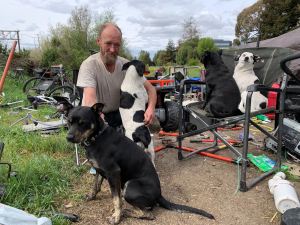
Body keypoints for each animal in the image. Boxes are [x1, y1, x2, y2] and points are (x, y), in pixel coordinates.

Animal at [67, 103, 214, 224]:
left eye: (82, 123)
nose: (68, 137)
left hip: (129, 187)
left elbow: (116, 200)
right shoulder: (99, 169)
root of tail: (159, 194)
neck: (97, 137)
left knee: (148, 214)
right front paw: (91, 196)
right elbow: (95, 186)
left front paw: (116, 217)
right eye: (69, 122)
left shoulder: (113, 173)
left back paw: (127, 212)